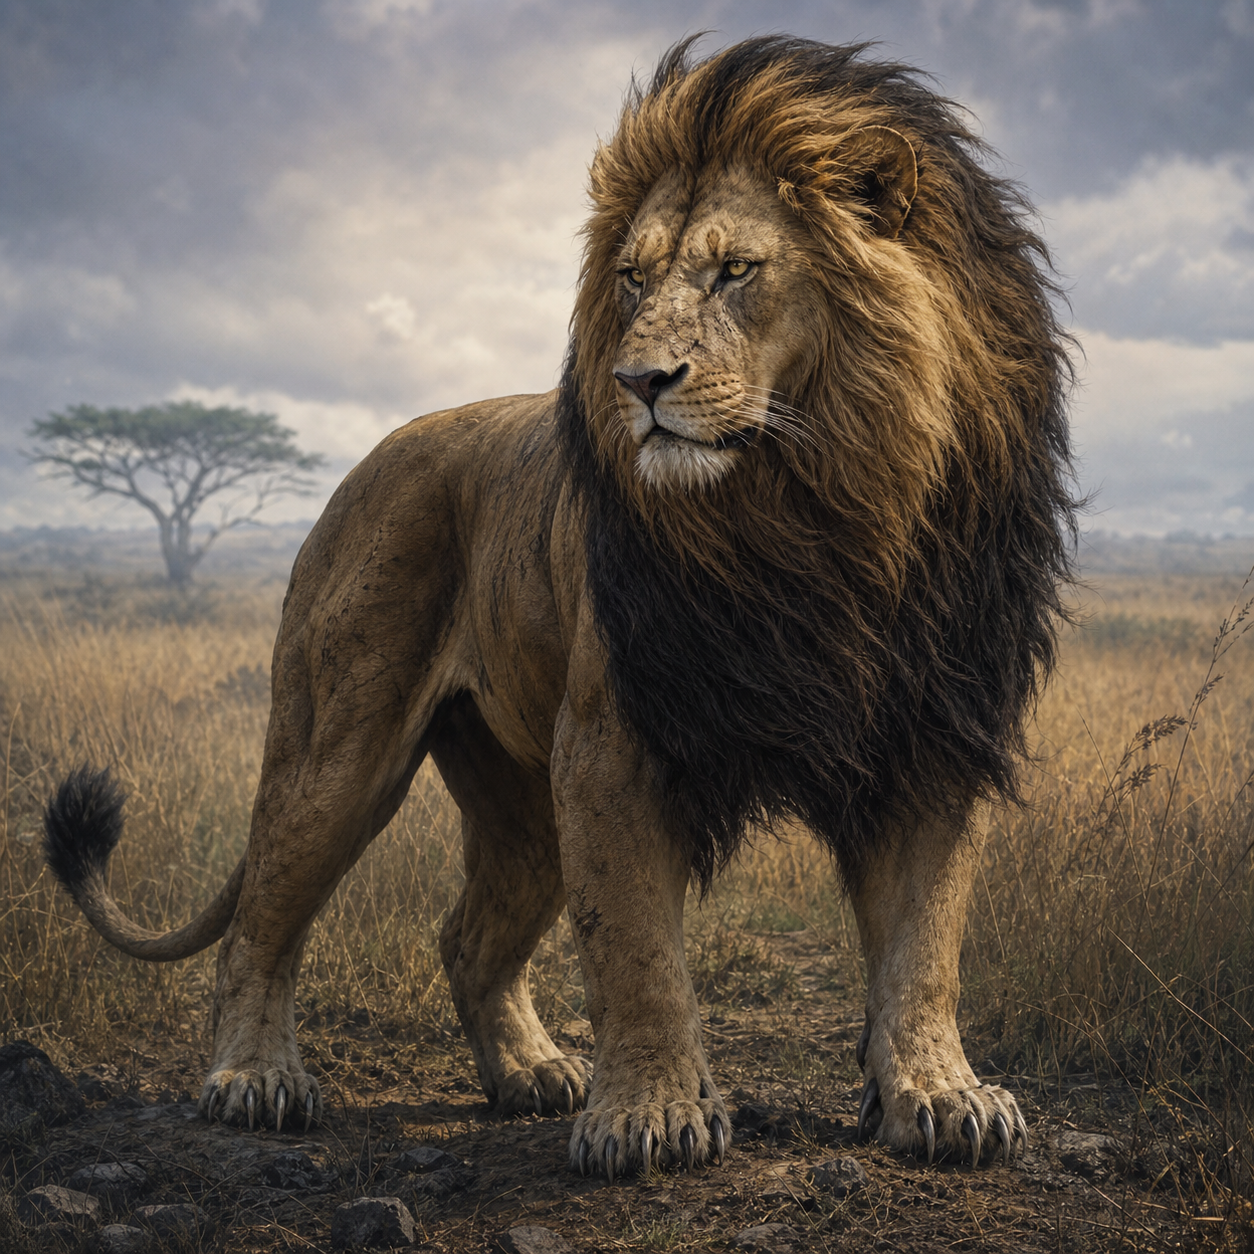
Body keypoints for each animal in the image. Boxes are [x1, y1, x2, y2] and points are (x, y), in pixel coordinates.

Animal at [45, 36, 1074, 1177]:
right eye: (632, 278)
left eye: (735, 271)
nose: (639, 381)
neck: (818, 512)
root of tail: (370, 459)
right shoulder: (611, 743)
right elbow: (636, 950)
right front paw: (651, 1116)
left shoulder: (935, 731)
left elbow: (925, 945)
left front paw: (942, 1096)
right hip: (337, 745)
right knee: (262, 914)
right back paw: (252, 1079)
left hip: (522, 798)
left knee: (466, 938)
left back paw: (529, 1070)